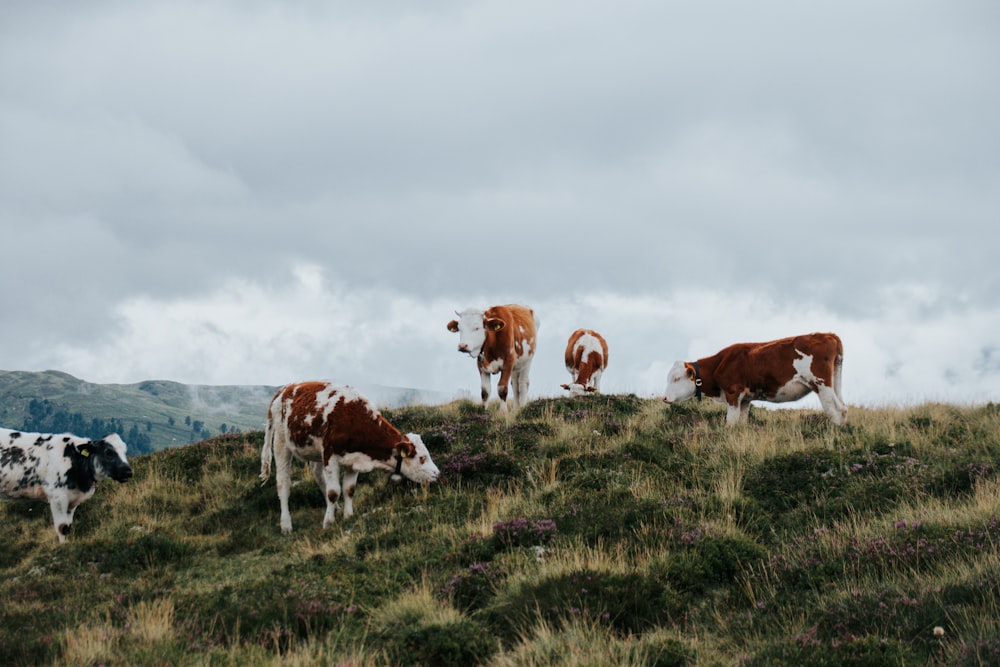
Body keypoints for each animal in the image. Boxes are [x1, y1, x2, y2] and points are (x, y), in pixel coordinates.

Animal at [0, 428, 133, 544]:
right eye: (108, 452)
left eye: (125, 451)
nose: (128, 471)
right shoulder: (57, 497)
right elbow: (62, 527)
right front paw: (63, 546)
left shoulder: (73, 501)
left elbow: (68, 527)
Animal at [260, 384, 440, 536]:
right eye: (422, 458)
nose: (437, 474)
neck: (353, 420)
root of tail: (285, 389)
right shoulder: (330, 455)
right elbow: (333, 492)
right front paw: (328, 522)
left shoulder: (353, 461)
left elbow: (348, 489)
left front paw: (348, 515)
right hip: (281, 442)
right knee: (283, 483)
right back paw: (286, 525)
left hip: (316, 451)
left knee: (318, 476)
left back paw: (336, 509)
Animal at [660, 334, 848, 428]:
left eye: (676, 378)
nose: (665, 398)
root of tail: (827, 334)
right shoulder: (745, 399)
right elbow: (742, 422)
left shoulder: (733, 394)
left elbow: (730, 423)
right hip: (834, 382)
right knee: (843, 408)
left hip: (820, 383)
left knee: (835, 410)